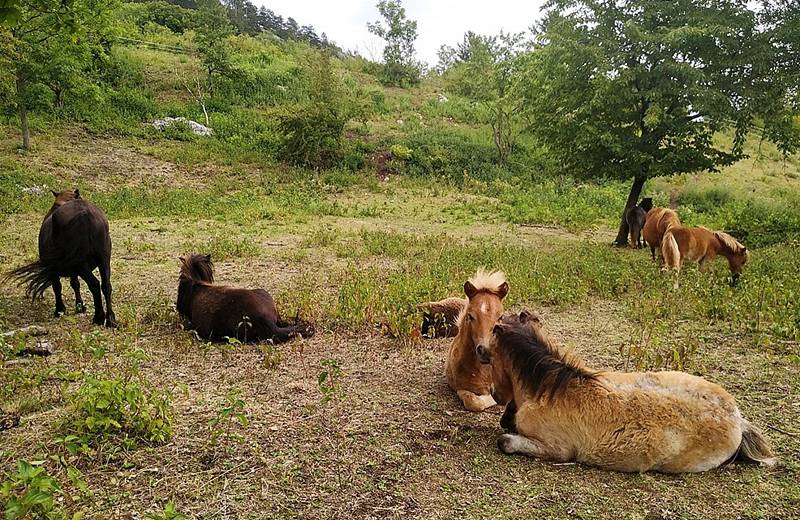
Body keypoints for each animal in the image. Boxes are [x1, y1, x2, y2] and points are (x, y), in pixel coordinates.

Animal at [5, 189, 115, 328]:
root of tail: (86, 215)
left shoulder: (54, 269)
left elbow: (57, 286)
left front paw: (59, 309)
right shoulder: (73, 269)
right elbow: (75, 284)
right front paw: (80, 306)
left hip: (81, 263)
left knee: (94, 285)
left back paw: (98, 317)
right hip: (103, 258)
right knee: (106, 286)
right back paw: (111, 319)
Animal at [478, 310, 780, 474]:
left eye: (489, 357)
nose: (494, 393)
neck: (551, 388)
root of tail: (738, 419)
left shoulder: (557, 450)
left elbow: (505, 441)